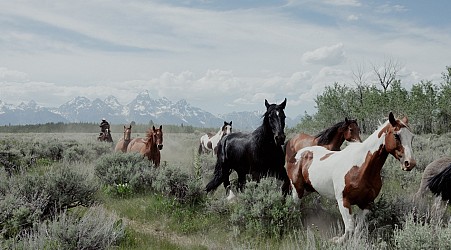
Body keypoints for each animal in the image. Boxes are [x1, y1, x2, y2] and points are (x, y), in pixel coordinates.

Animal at [294, 112, 416, 243]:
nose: (410, 163)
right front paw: (335, 240)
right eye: (396, 135)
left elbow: (357, 230)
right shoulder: (343, 201)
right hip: (297, 191)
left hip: (308, 189)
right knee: (296, 208)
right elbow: (349, 230)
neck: (361, 168)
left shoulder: (367, 204)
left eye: (412, 137)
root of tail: (301, 152)